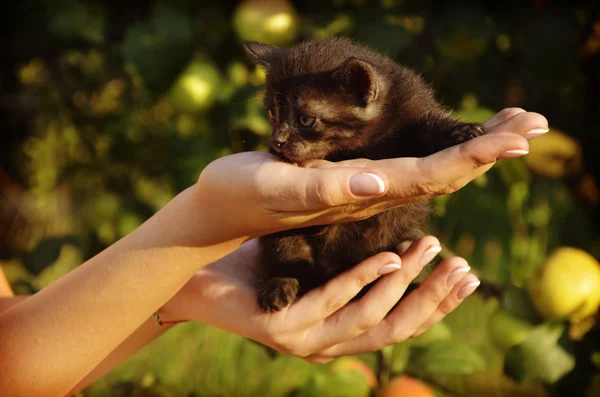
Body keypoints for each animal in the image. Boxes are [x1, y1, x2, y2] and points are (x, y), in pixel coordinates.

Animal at [244, 37, 482, 310]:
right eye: (272, 113)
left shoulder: (412, 112)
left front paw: (459, 131)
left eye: (306, 120)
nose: (277, 141)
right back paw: (278, 284)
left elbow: (429, 126)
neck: (360, 143)